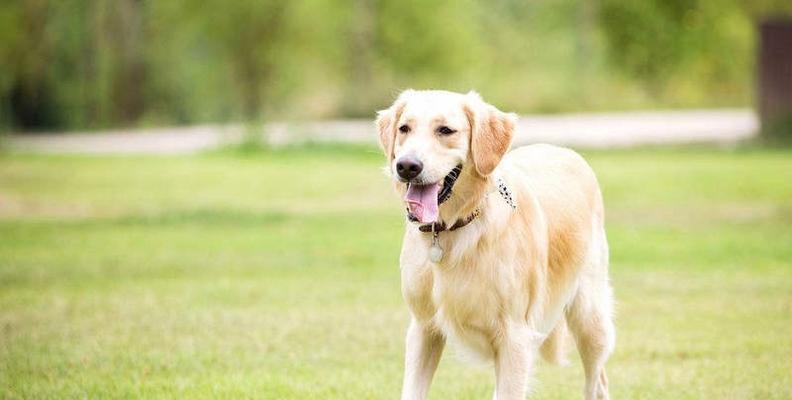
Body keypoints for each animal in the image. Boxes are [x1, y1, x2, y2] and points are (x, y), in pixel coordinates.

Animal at [378, 90, 620, 400]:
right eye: (404, 129)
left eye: (445, 130)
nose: (407, 166)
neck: (453, 230)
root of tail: (566, 151)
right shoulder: (423, 326)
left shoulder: (515, 336)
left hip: (590, 317)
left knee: (597, 381)